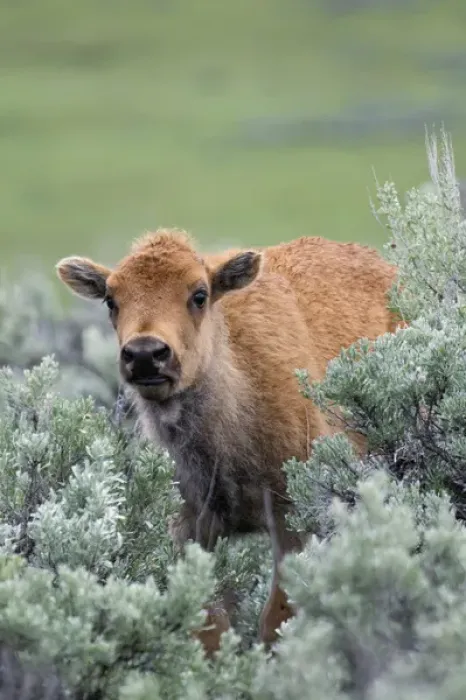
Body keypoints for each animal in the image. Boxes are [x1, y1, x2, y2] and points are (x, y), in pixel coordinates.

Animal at [56, 228, 399, 651]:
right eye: (111, 299)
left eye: (199, 294)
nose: (145, 354)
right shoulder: (191, 526)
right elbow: (210, 627)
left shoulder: (293, 520)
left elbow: (277, 618)